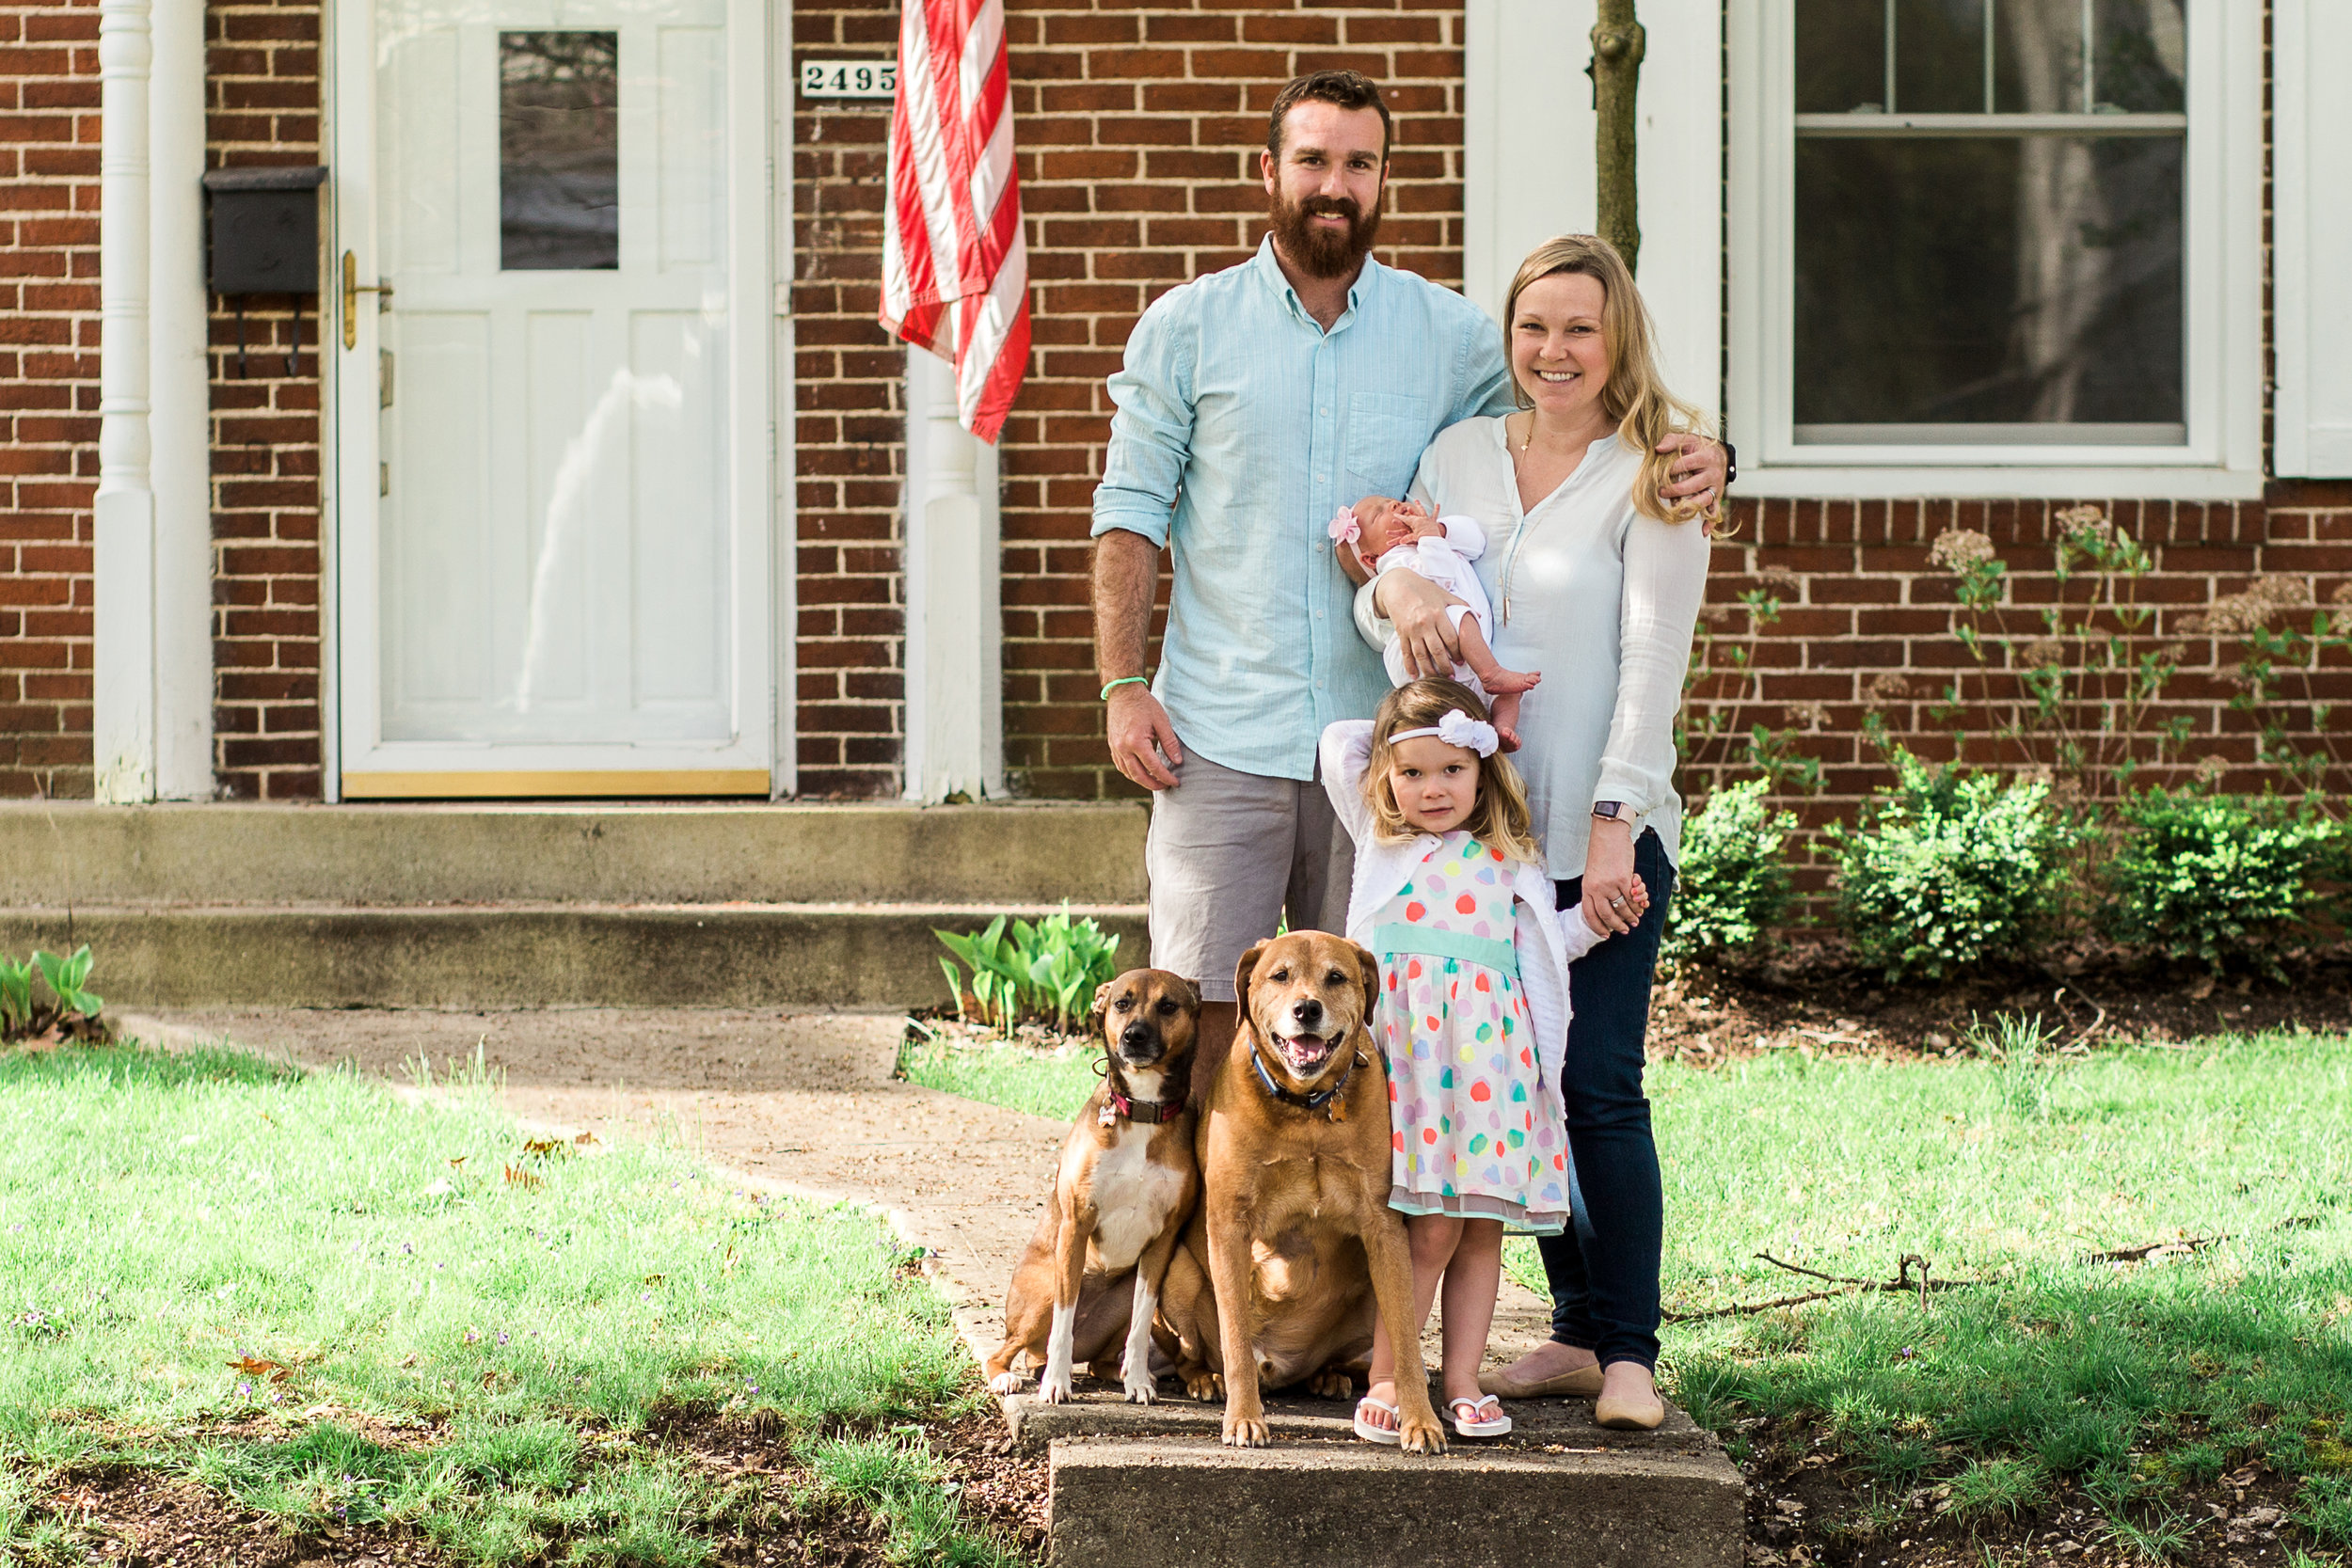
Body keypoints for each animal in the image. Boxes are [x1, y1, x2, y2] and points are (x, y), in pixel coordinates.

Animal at [978, 973, 1195, 1401]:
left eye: (1168, 1006)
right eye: (1122, 1003)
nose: (1134, 1036)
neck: (1141, 1113)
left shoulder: (1161, 1242)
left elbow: (1141, 1325)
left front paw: (1138, 1381)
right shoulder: (1076, 1226)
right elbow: (1062, 1325)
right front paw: (1057, 1384)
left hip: (1121, 1298)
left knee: (1097, 1360)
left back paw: (1124, 1373)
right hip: (1040, 1298)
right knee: (1008, 1351)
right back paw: (1009, 1376)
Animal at [1157, 930, 1449, 1457]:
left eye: (1336, 977)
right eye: (1280, 975)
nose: (1307, 1009)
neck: (1306, 1111)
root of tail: (1281, 1367)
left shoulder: (1384, 1231)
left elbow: (1406, 1344)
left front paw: (1420, 1420)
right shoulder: (1229, 1227)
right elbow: (1235, 1338)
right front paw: (1244, 1417)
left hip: (1368, 1295)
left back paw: (1329, 1376)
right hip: (1178, 1277)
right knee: (1202, 1352)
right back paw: (1206, 1379)